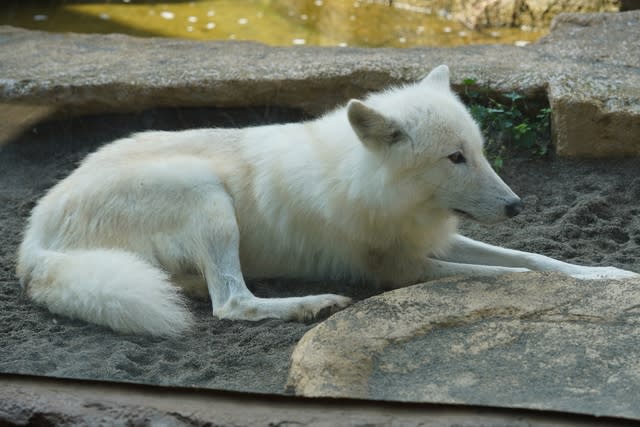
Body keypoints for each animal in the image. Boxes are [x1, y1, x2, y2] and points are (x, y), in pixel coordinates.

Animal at [17, 64, 636, 338]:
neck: (367, 180)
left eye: (479, 153)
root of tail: (32, 242)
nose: (516, 208)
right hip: (204, 192)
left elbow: (539, 259)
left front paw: (610, 274)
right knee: (231, 304)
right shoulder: (400, 267)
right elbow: (512, 277)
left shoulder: (433, 238)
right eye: (454, 158)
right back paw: (311, 304)